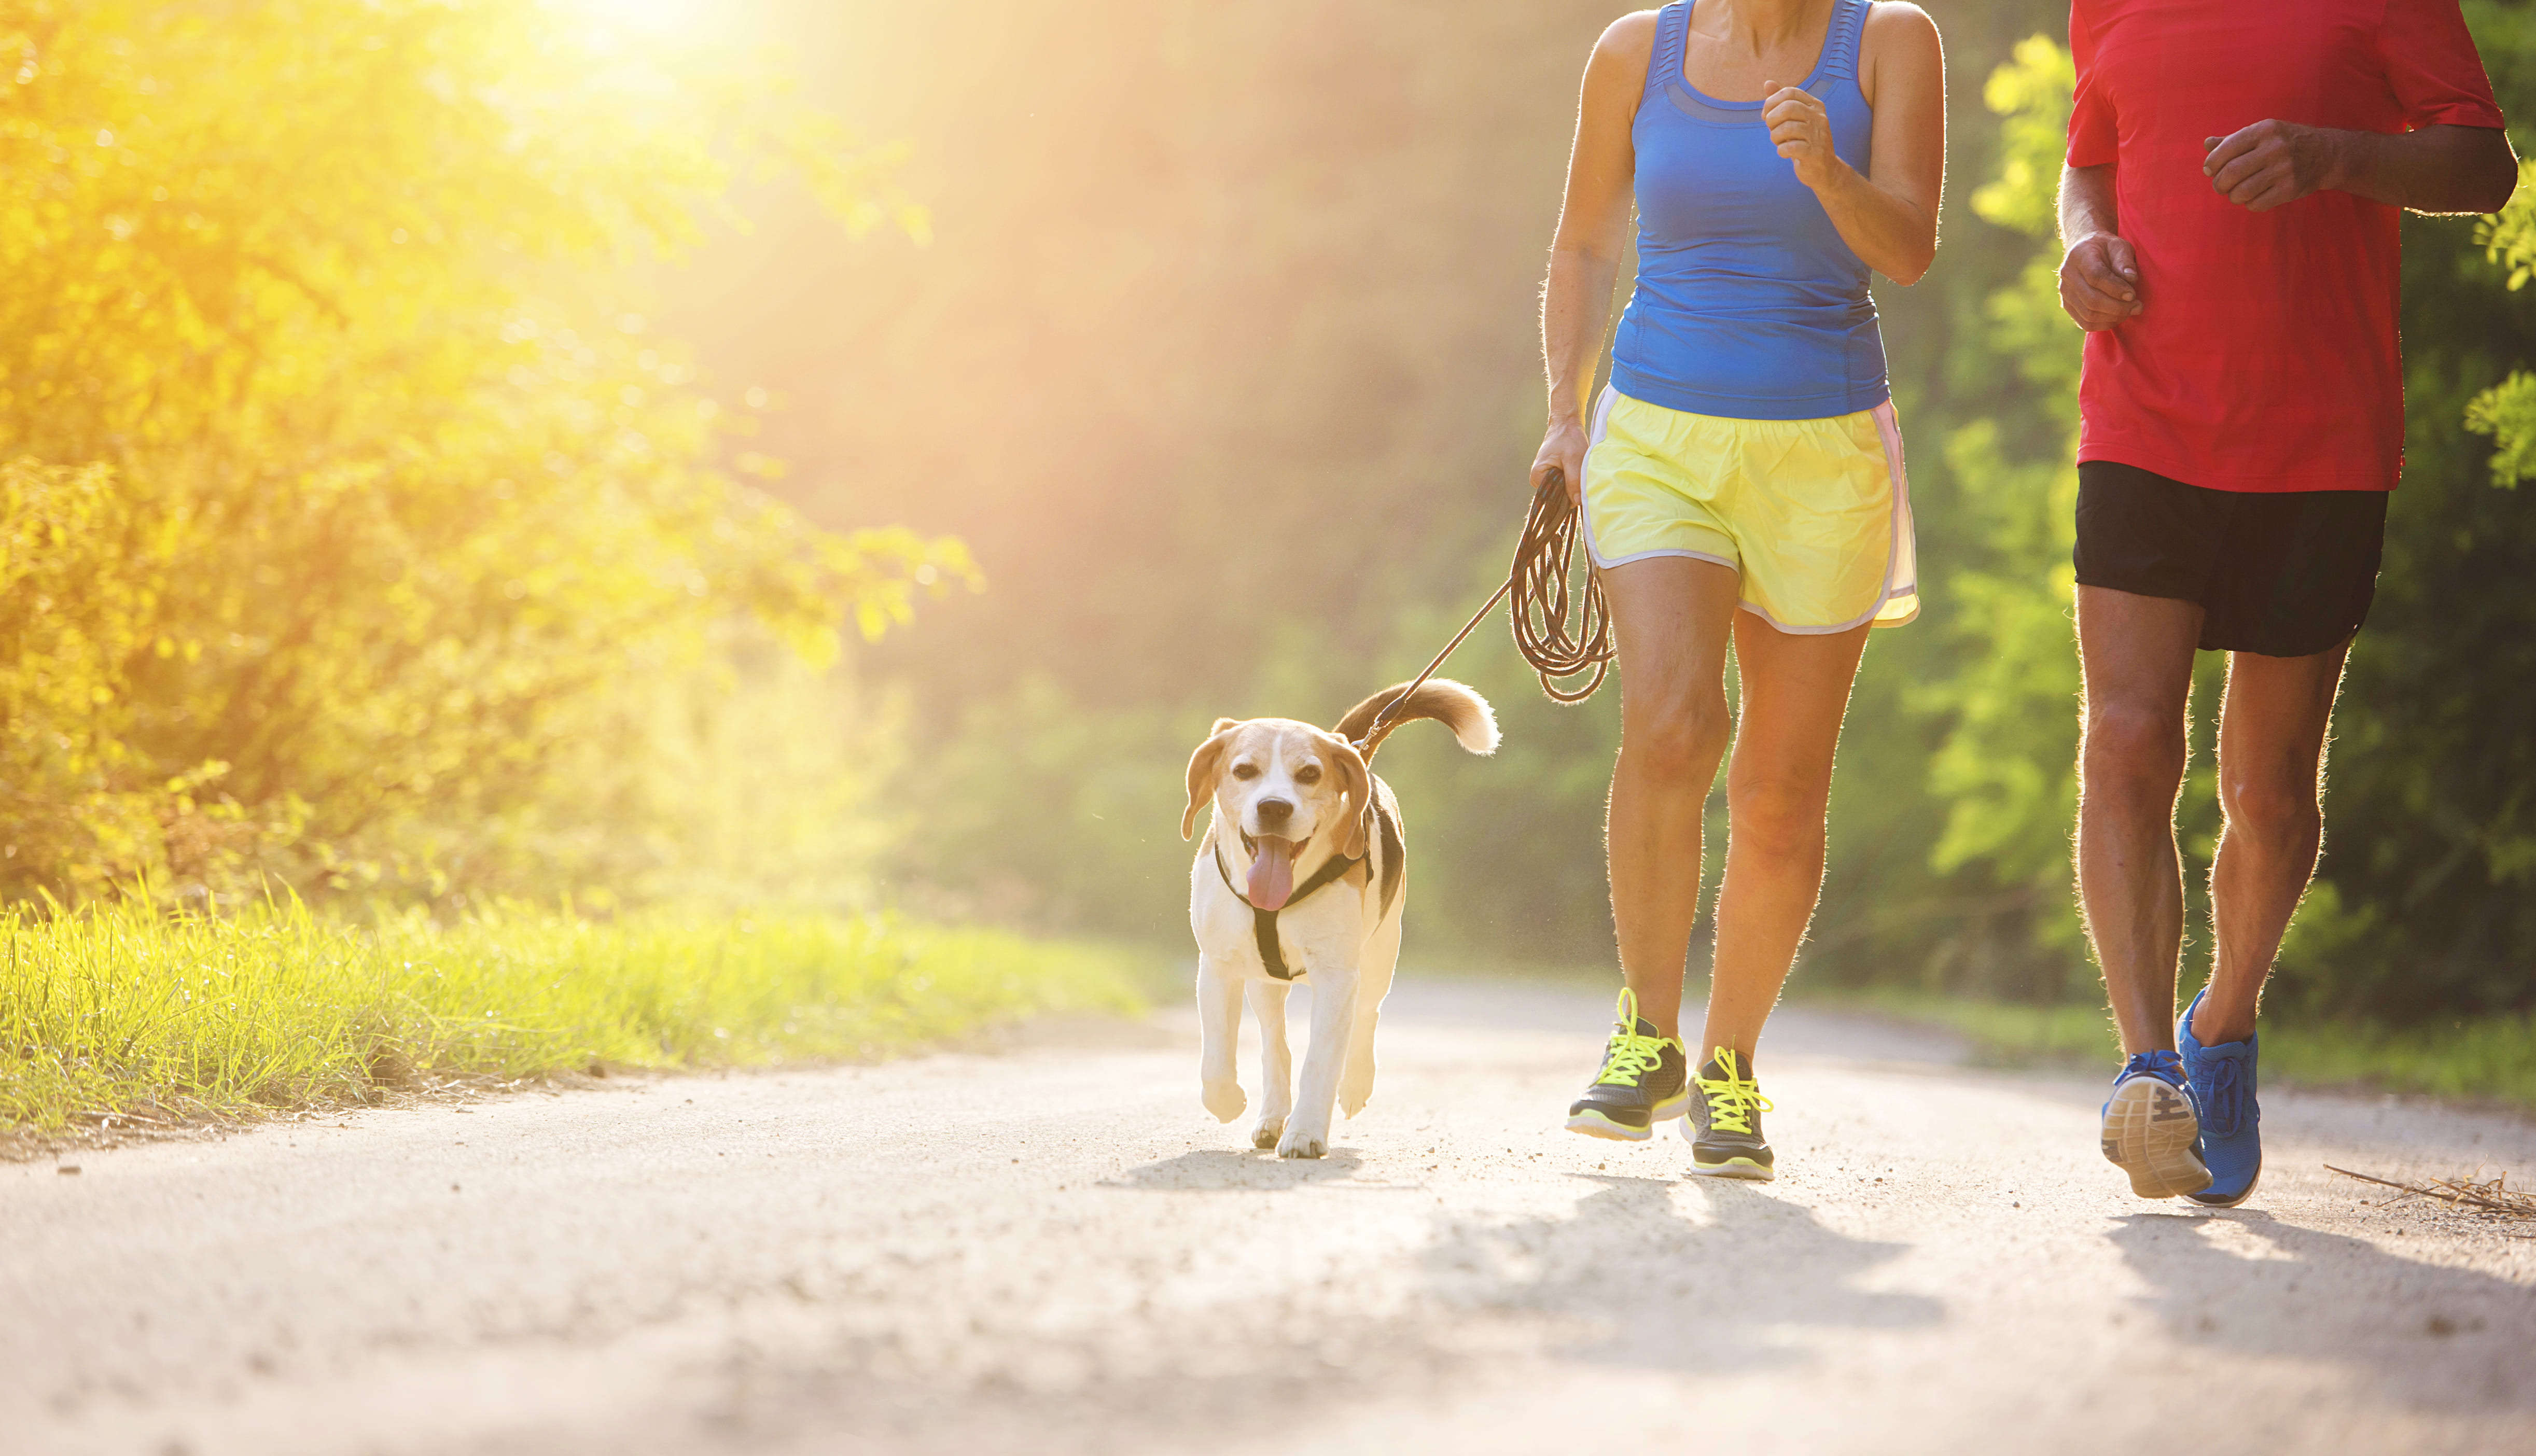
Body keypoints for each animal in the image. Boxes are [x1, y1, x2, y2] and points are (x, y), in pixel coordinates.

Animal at [1181, 680, 1491, 1167]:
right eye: (1244, 770)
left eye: (1309, 774)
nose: (1273, 808)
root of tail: (1352, 745)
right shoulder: (1217, 966)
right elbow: (1216, 1057)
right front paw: (1228, 1101)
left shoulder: (1336, 976)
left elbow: (1321, 1059)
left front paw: (1306, 1132)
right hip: (1264, 983)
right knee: (1274, 1041)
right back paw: (1273, 1115)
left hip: (1380, 956)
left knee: (1366, 1017)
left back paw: (1355, 1084)